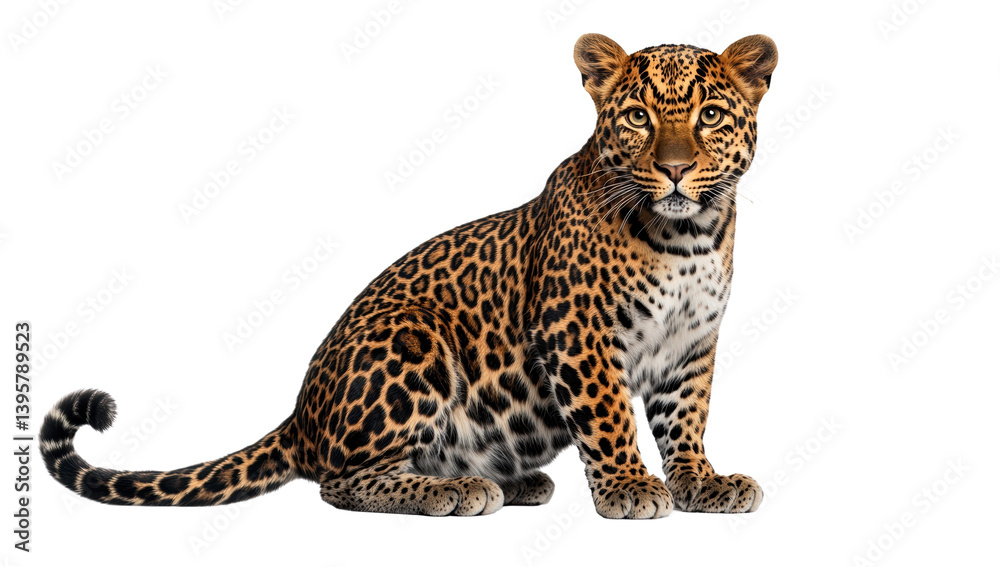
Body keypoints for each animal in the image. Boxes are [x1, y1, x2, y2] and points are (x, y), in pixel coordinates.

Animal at [41, 33, 778, 519]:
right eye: (637, 118)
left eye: (710, 115)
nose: (676, 168)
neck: (687, 238)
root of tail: (300, 415)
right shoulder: (580, 333)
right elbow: (608, 416)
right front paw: (629, 487)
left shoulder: (692, 345)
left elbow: (686, 418)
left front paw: (700, 481)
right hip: (409, 338)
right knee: (339, 481)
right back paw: (454, 491)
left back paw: (509, 481)